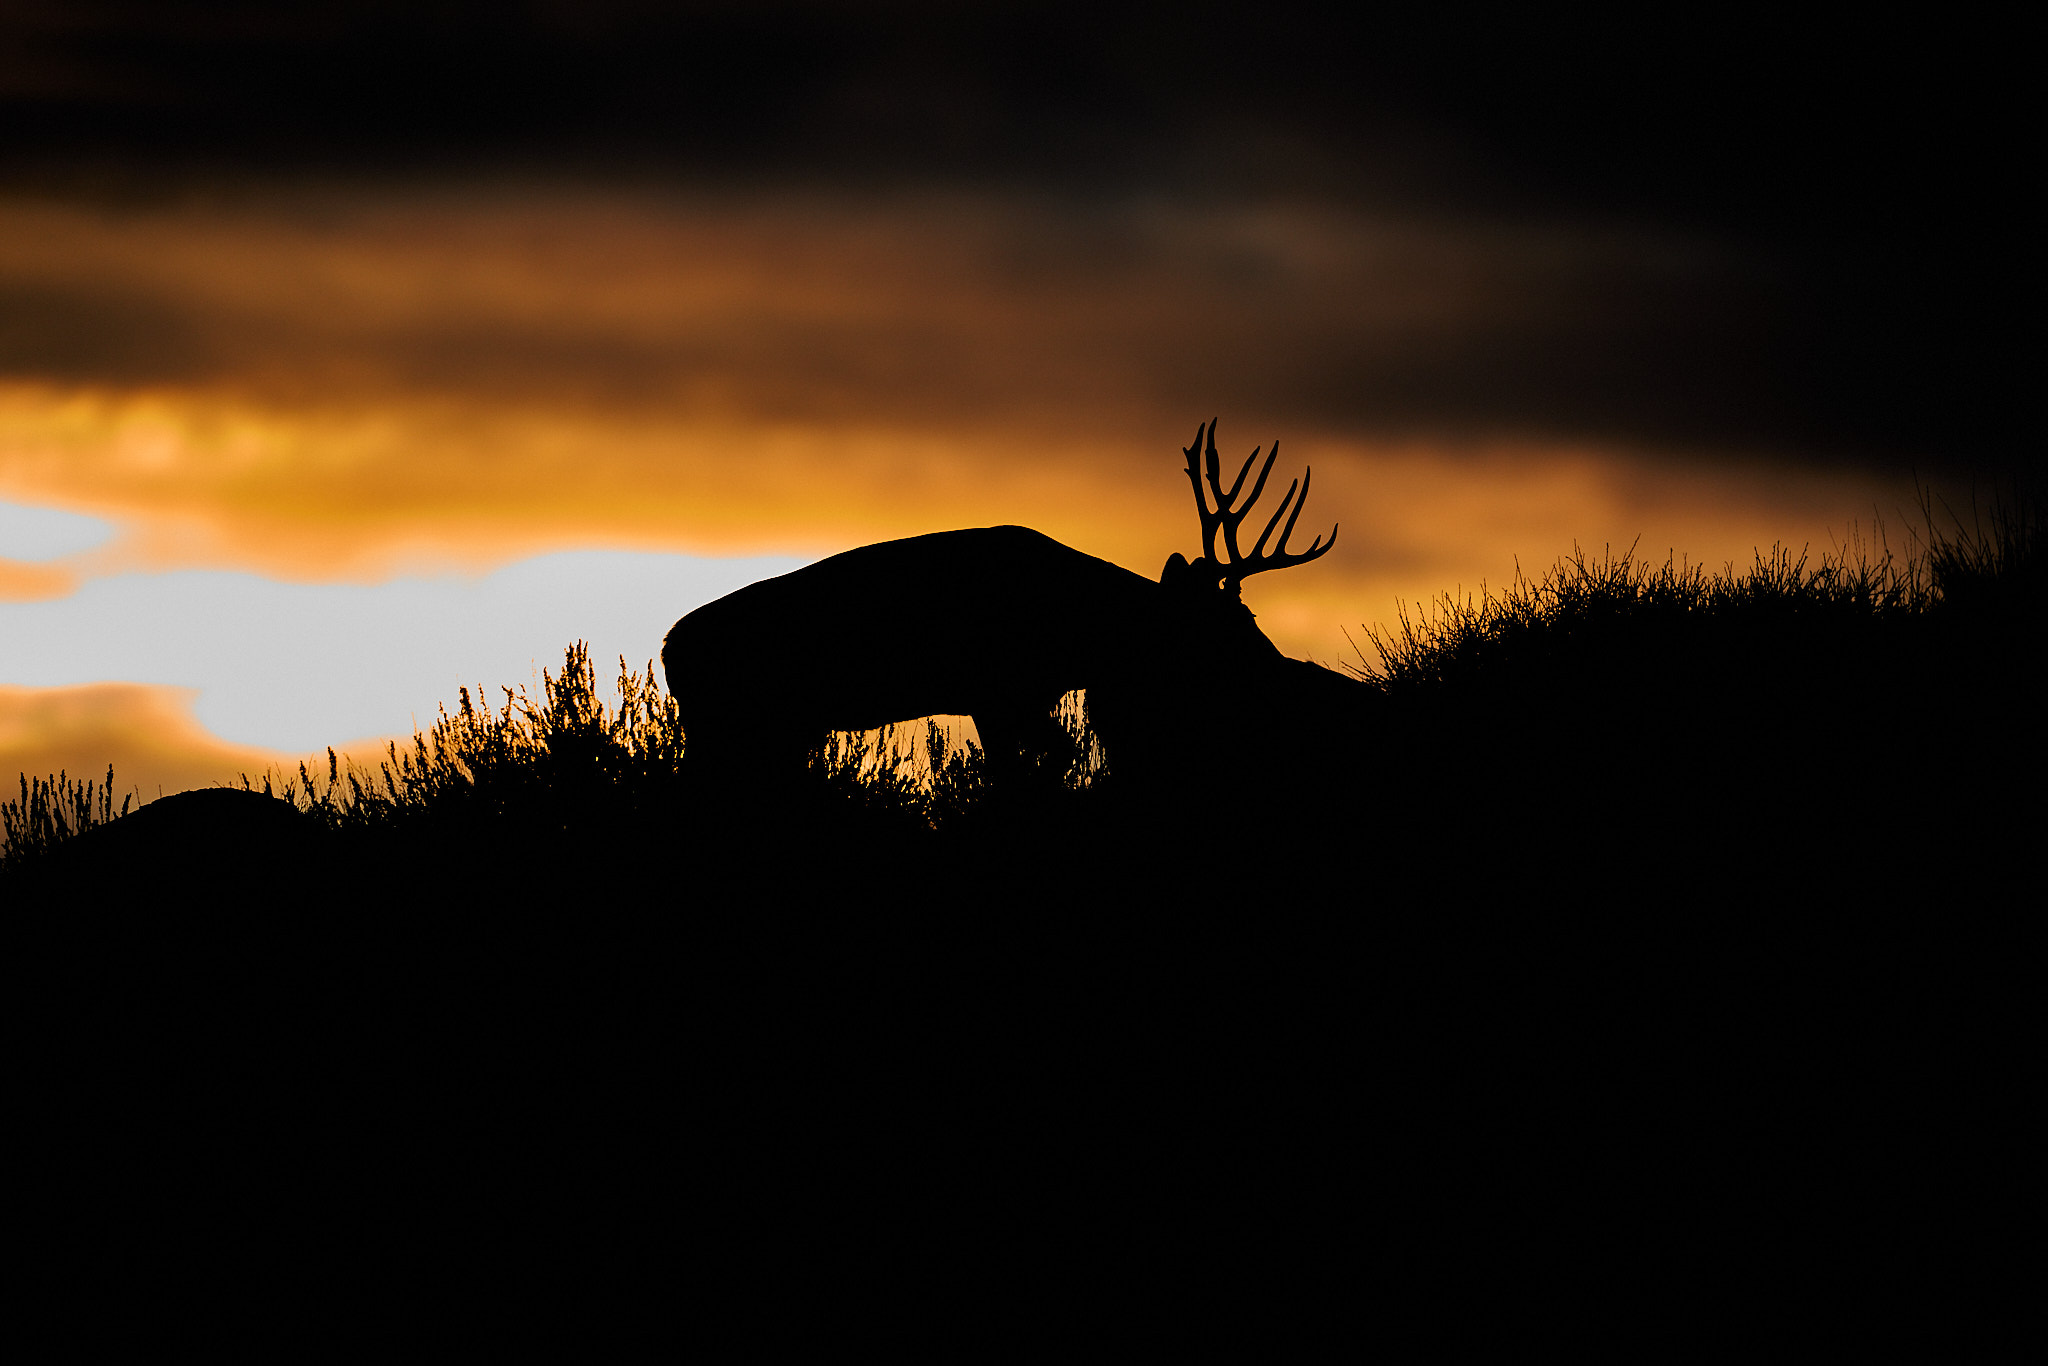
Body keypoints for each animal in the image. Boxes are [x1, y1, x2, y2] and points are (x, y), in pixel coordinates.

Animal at [661, 421, 1369, 789]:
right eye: (1232, 622)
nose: (1281, 666)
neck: (1077, 634)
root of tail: (668, 649)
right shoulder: (998, 690)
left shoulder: (1009, 697)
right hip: (727, 725)